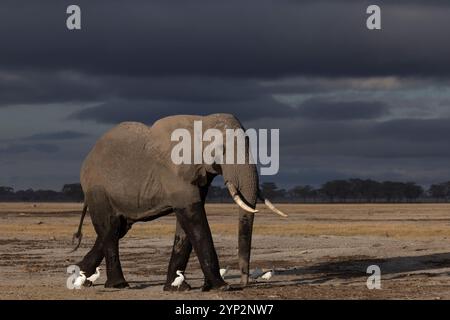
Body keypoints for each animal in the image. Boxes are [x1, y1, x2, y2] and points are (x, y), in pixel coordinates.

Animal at [71, 114, 286, 292]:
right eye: (221, 150)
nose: (244, 283)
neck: (201, 122)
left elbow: (186, 221)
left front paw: (178, 289)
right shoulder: (174, 171)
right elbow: (193, 217)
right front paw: (221, 287)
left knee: (118, 228)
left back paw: (80, 277)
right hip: (97, 189)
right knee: (110, 228)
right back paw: (118, 285)